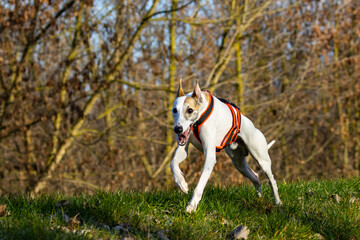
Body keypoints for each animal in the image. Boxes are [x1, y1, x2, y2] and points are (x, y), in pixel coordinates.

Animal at [170, 80, 282, 212]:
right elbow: (173, 163)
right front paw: (181, 183)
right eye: (174, 110)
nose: (177, 129)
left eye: (190, 110)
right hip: (238, 163)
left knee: (272, 181)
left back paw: (278, 202)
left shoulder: (210, 157)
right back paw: (259, 198)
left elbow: (200, 185)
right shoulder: (183, 148)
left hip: (262, 159)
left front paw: (192, 206)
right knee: (255, 176)